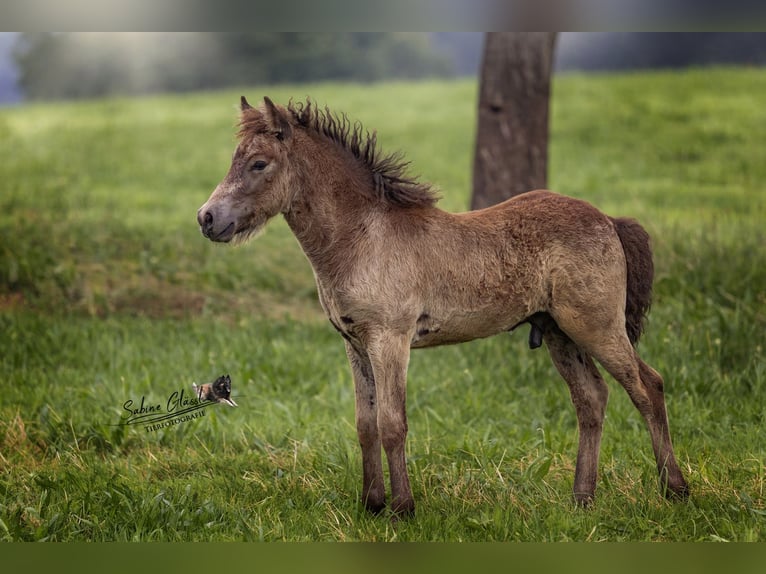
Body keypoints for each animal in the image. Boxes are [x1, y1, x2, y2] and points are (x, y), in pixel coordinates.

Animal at [196, 95, 688, 516]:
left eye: (259, 163)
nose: (206, 218)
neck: (362, 237)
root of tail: (608, 219)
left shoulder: (390, 340)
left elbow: (393, 424)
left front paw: (402, 509)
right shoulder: (355, 345)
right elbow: (365, 425)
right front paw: (371, 503)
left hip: (597, 326)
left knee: (648, 386)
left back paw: (675, 489)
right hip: (558, 332)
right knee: (591, 399)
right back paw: (582, 499)